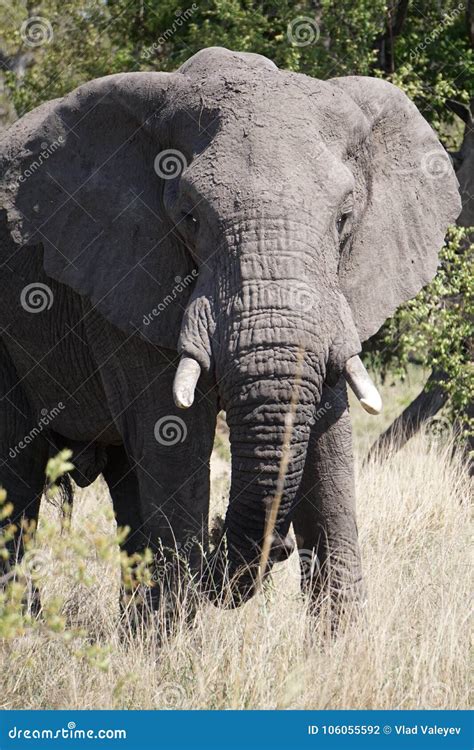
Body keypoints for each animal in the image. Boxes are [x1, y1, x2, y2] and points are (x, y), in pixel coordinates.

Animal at [0, 45, 460, 616]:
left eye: (344, 219)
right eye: (190, 217)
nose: (277, 545)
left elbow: (328, 450)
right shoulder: (126, 276)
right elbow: (173, 441)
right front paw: (173, 638)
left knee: (124, 484)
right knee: (18, 476)